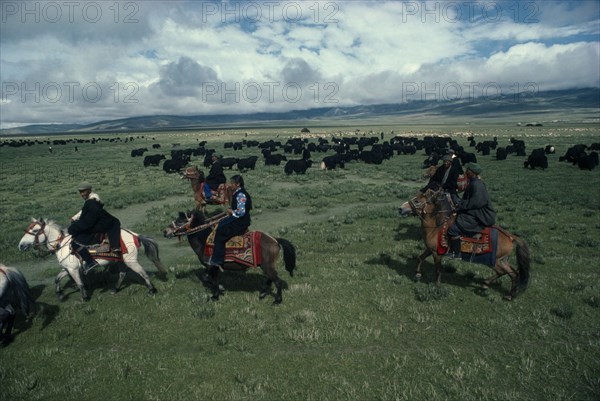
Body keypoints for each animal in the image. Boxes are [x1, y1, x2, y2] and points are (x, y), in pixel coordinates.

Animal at [18, 219, 166, 300]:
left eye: (35, 230)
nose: (21, 245)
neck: (61, 244)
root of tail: (134, 235)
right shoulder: (67, 268)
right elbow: (57, 279)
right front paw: (59, 294)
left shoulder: (73, 269)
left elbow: (80, 283)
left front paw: (84, 297)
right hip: (121, 261)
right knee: (122, 274)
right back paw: (115, 289)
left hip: (131, 261)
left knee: (143, 273)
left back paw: (151, 290)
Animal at [163, 211, 296, 302]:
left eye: (180, 221)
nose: (165, 231)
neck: (204, 240)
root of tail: (275, 240)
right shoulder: (214, 267)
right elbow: (213, 280)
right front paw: (217, 294)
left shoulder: (211, 265)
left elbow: (208, 279)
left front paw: (217, 292)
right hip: (267, 266)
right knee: (271, 278)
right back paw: (263, 292)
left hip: (267, 265)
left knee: (277, 281)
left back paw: (277, 300)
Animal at [398, 189, 528, 298]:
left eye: (417, 201)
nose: (400, 209)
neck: (437, 226)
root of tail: (510, 236)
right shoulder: (430, 249)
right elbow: (420, 258)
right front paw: (418, 273)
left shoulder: (437, 253)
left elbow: (438, 270)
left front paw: (437, 285)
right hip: (502, 260)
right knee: (513, 274)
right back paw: (509, 295)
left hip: (494, 261)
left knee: (502, 272)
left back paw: (486, 284)